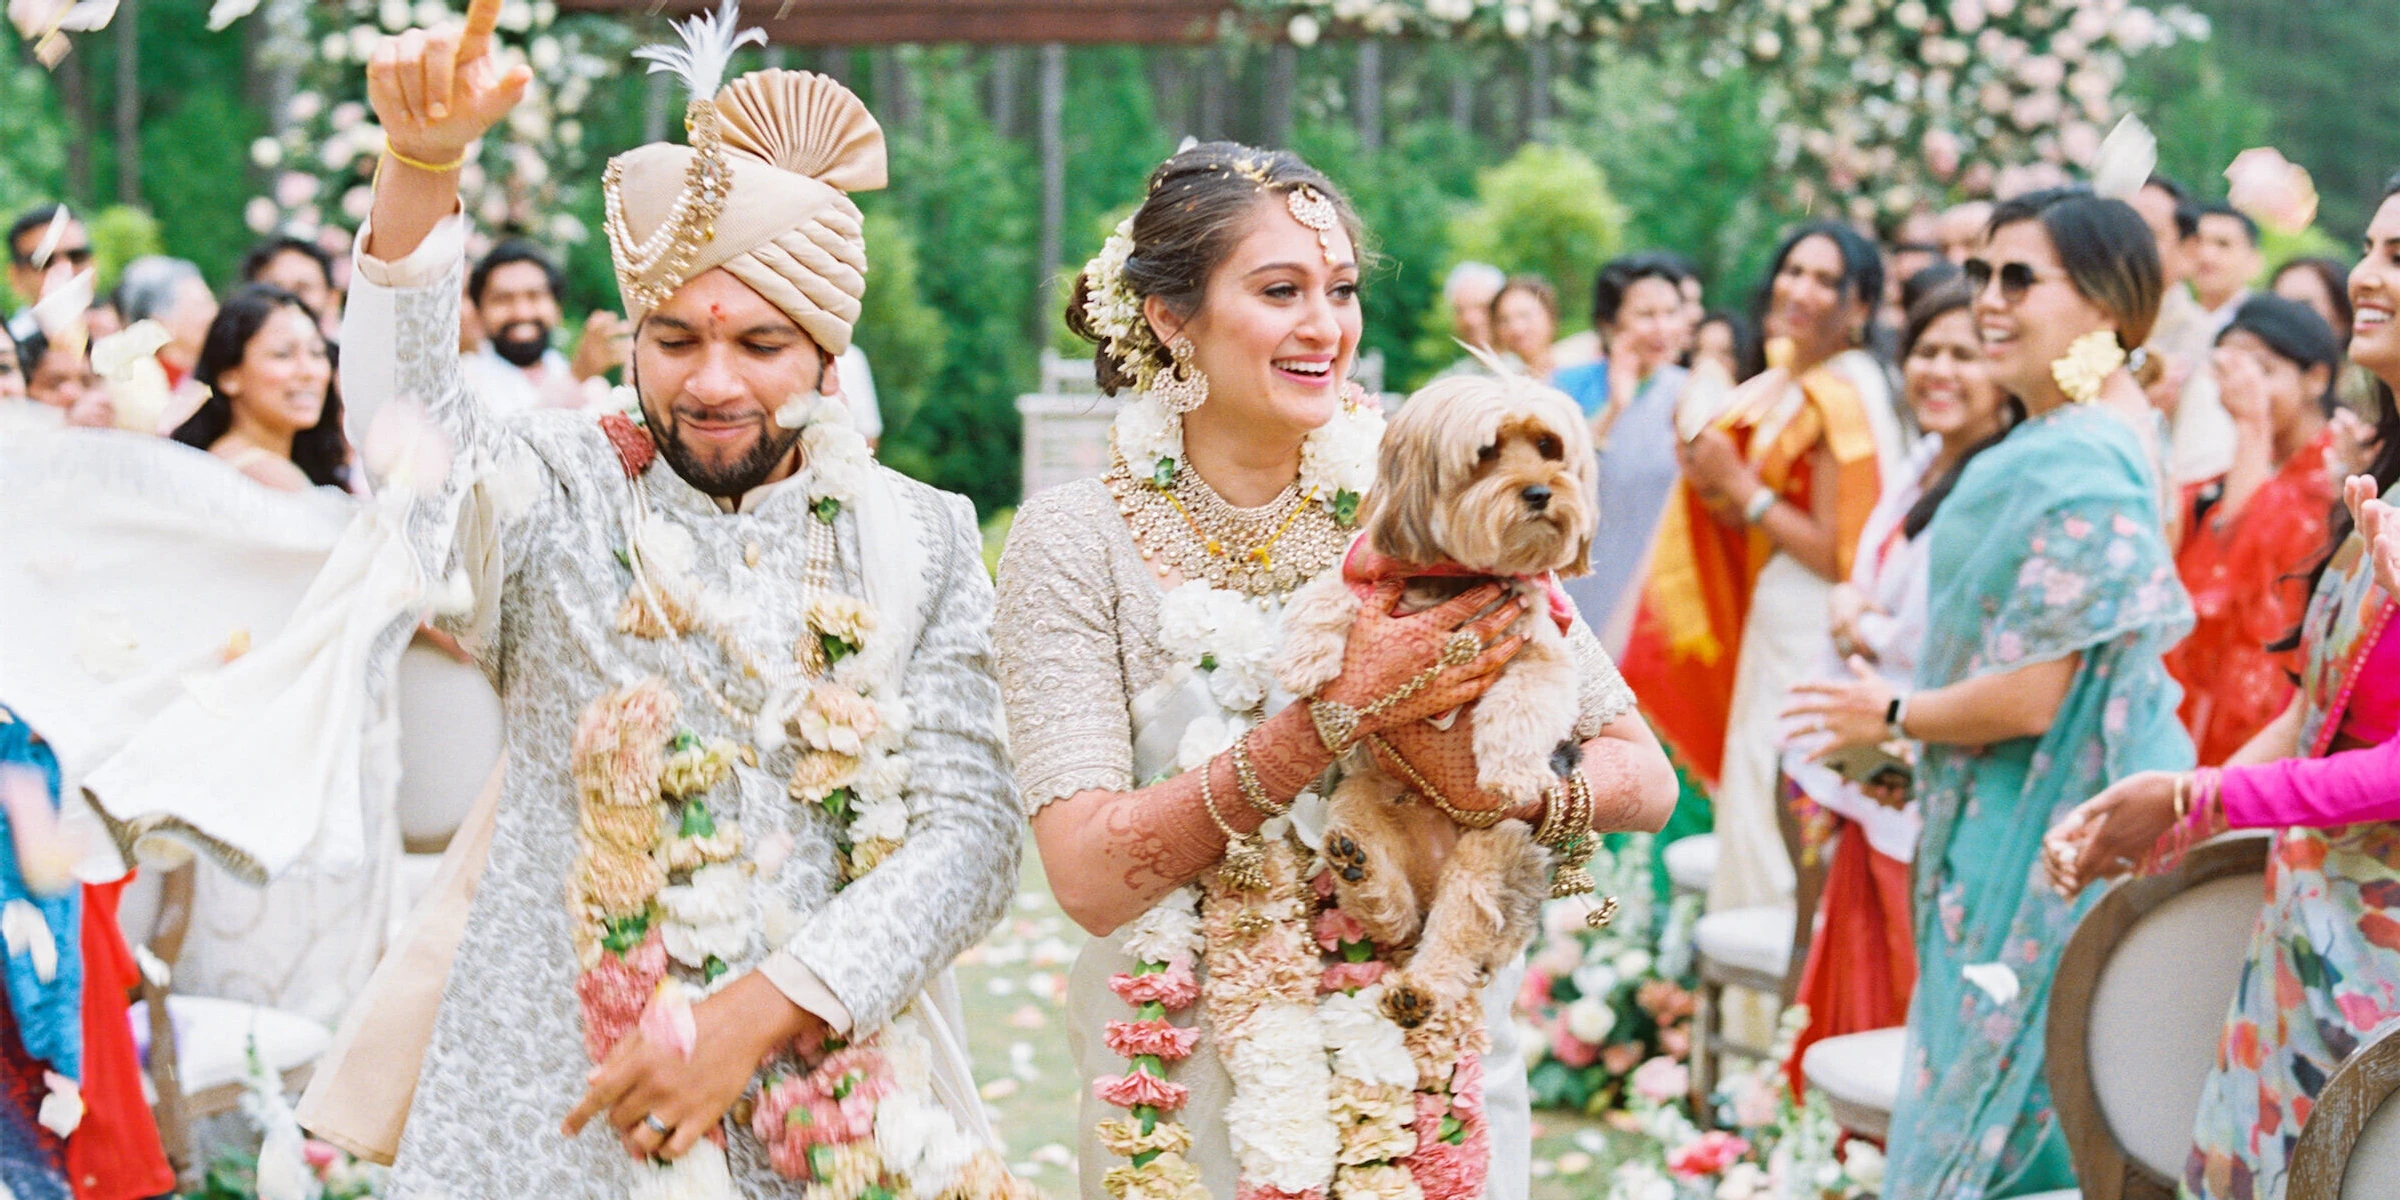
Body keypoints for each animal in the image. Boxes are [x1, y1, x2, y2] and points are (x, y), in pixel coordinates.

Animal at [1276, 367, 1593, 1032]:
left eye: (1548, 448)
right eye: (1486, 452)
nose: (1539, 492)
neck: (1455, 573)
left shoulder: (1540, 650)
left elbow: (1522, 704)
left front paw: (1508, 770)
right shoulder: (1368, 576)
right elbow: (1325, 597)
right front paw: (1306, 658)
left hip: (1493, 848)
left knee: (1457, 928)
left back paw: (1418, 989)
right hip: (1358, 797)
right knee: (1393, 916)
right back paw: (1362, 871)